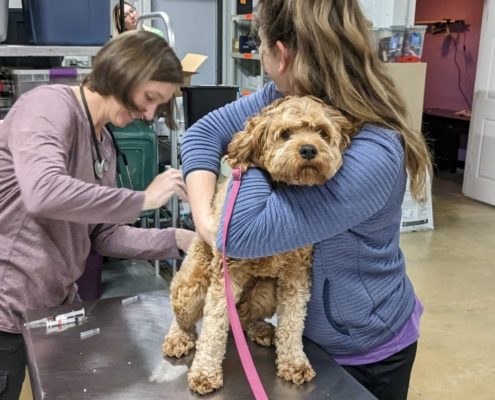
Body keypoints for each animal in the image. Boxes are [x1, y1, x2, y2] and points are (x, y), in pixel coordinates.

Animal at [165, 96, 354, 394]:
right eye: (286, 133)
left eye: (322, 132)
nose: (309, 149)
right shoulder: (226, 273)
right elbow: (214, 324)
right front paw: (205, 372)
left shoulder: (296, 275)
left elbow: (293, 321)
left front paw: (294, 362)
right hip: (190, 288)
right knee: (184, 316)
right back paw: (178, 337)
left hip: (265, 292)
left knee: (243, 318)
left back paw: (261, 329)